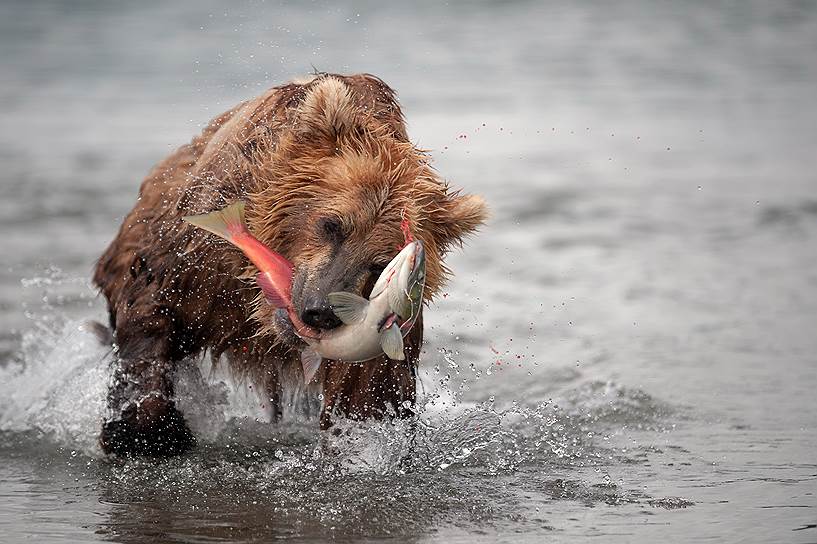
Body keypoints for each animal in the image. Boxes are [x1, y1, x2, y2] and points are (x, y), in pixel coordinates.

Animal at [95, 72, 488, 454]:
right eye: (332, 224)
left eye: (380, 263)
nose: (321, 311)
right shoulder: (199, 259)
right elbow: (153, 304)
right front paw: (147, 430)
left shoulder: (380, 327)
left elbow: (367, 390)